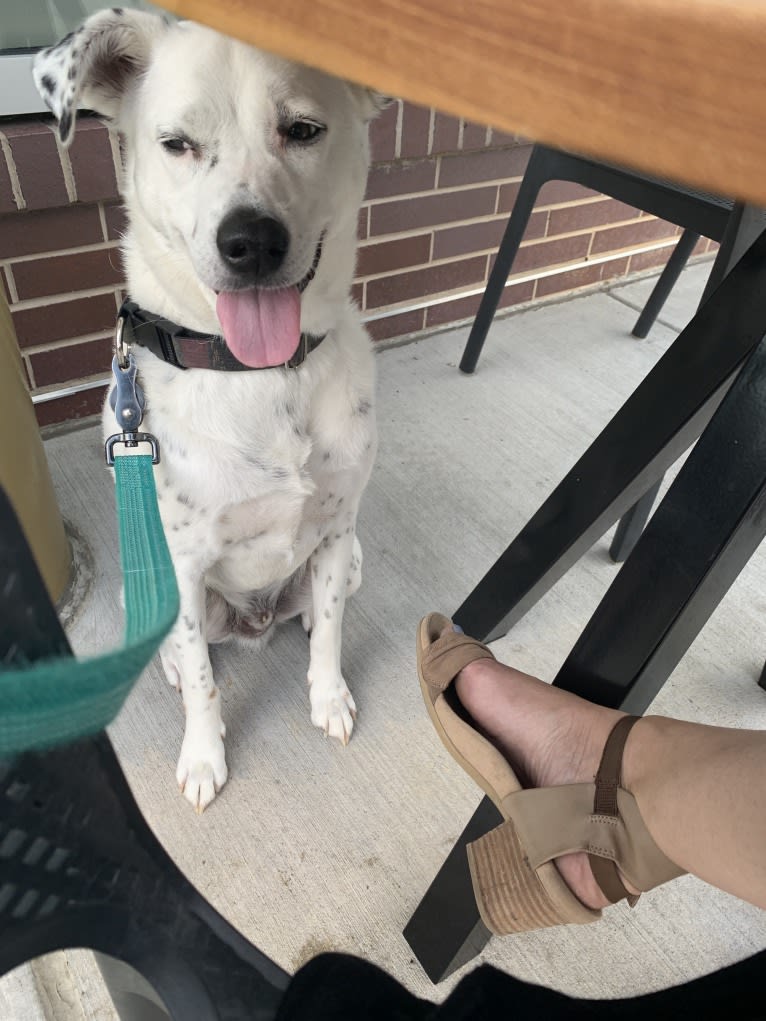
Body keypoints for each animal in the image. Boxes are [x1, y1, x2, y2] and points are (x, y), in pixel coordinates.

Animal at [34, 5, 384, 804]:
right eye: (178, 144)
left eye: (304, 129)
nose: (250, 242)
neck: (255, 374)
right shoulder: (186, 565)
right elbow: (201, 678)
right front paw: (203, 757)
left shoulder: (336, 530)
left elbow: (332, 630)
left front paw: (329, 696)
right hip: (149, 590)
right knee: (182, 652)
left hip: (352, 557)